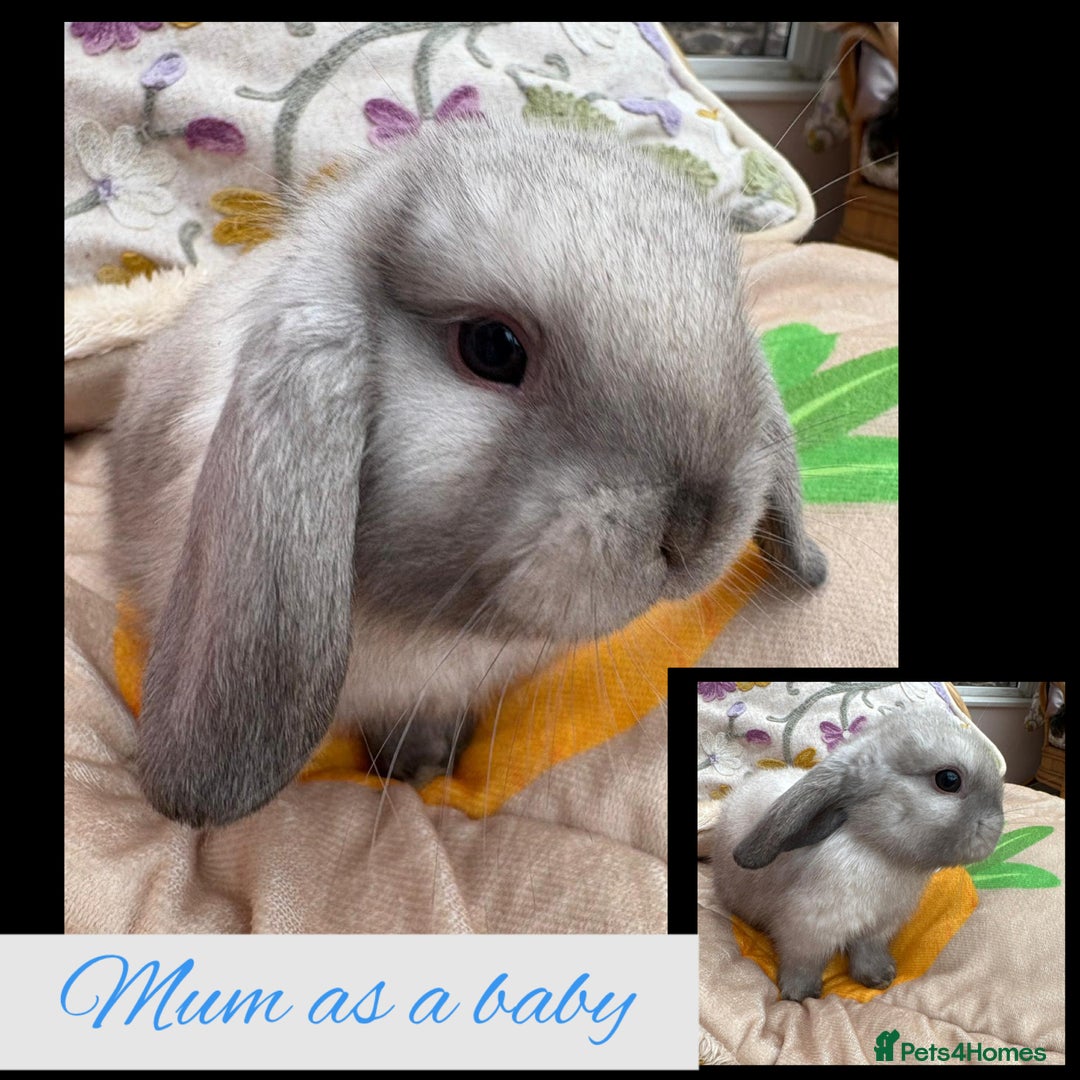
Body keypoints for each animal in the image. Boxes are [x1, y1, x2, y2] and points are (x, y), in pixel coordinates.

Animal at [711, 716, 1005, 1002]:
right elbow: (803, 963)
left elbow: (867, 953)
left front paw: (880, 978)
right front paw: (800, 995)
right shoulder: (806, 930)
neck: (878, 850)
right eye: (949, 780)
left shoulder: (878, 930)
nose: (996, 829)